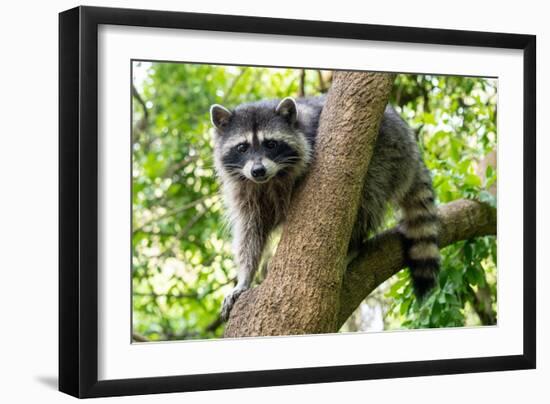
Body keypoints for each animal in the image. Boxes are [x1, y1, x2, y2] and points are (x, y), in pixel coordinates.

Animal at [209, 96, 442, 320]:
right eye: (242, 147)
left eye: (271, 144)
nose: (258, 170)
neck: (269, 179)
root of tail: (411, 144)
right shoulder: (245, 191)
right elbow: (250, 233)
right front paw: (245, 277)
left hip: (386, 155)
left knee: (364, 200)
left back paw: (353, 245)